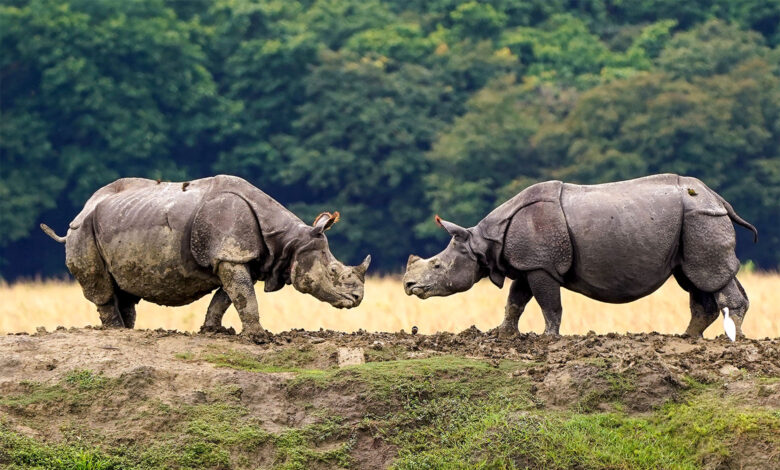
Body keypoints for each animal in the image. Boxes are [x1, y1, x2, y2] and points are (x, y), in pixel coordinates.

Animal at [41, 175, 371, 339]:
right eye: (333, 272)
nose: (357, 299)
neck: (287, 240)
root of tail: (81, 210)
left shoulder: (236, 258)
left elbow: (227, 297)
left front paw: (215, 331)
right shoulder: (230, 255)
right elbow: (244, 297)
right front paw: (260, 337)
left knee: (124, 290)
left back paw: (128, 329)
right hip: (82, 232)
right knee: (102, 288)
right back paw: (116, 332)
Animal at [403, 174, 758, 340]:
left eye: (437, 265)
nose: (408, 286)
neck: (484, 240)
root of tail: (719, 199)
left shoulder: (542, 265)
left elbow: (548, 304)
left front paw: (547, 338)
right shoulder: (529, 263)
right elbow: (515, 301)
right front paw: (502, 334)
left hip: (701, 218)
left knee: (709, 275)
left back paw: (735, 339)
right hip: (696, 220)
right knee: (695, 278)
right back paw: (687, 337)